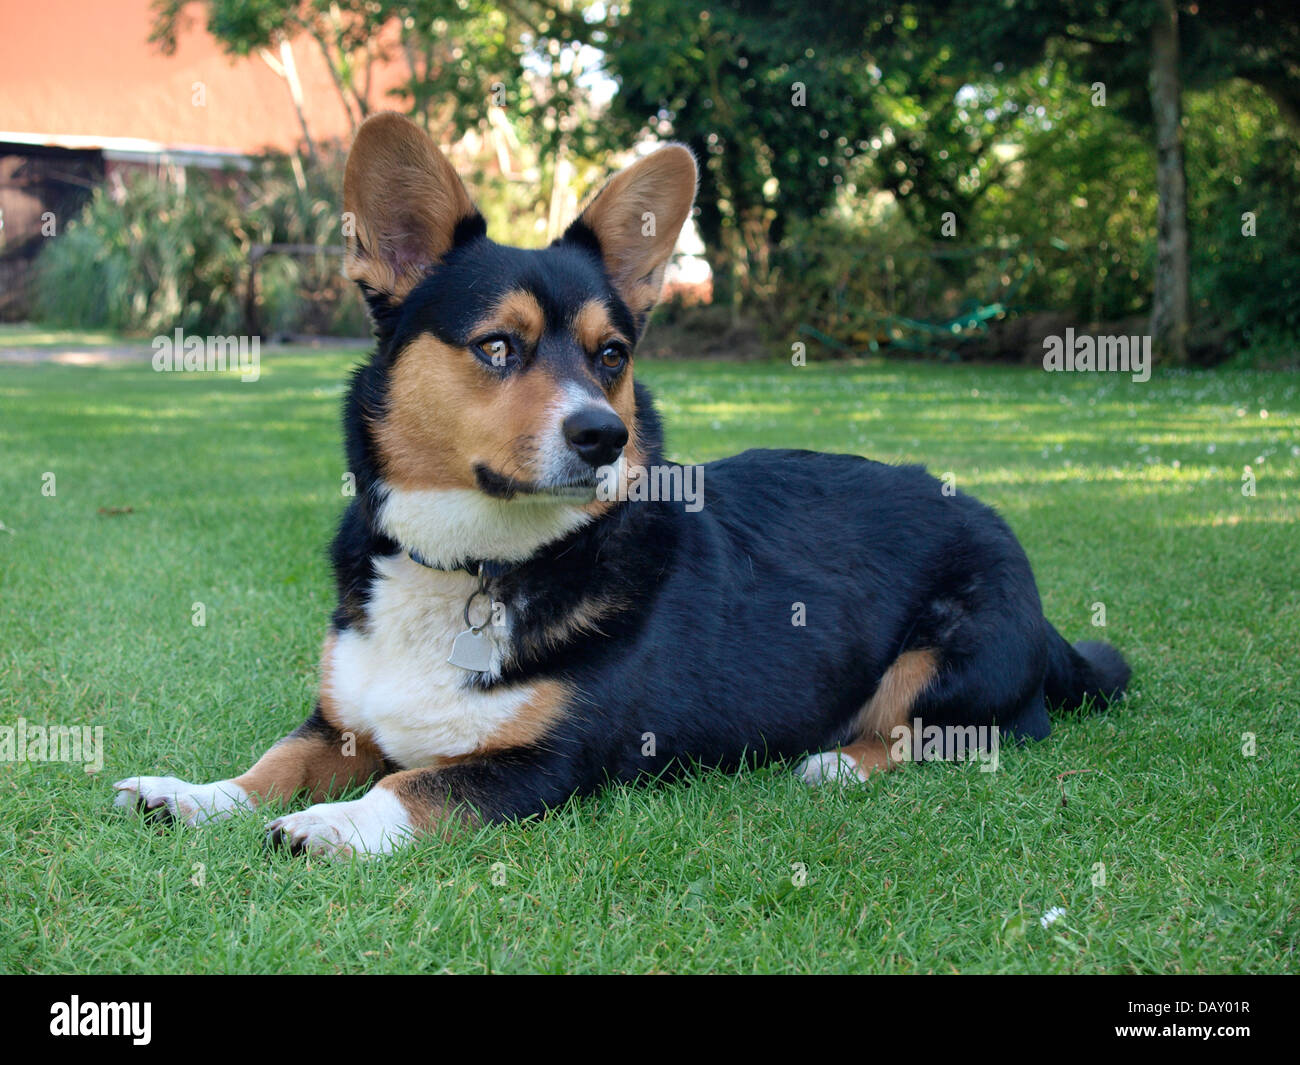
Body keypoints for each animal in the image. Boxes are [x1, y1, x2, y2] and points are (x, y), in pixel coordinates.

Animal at [111, 112, 1128, 858]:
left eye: (611, 356)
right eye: (497, 346)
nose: (603, 436)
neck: (476, 564)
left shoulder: (542, 763)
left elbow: (411, 783)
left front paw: (330, 823)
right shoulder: (337, 724)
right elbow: (269, 765)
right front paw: (190, 793)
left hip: (953, 659)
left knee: (957, 731)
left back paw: (835, 764)